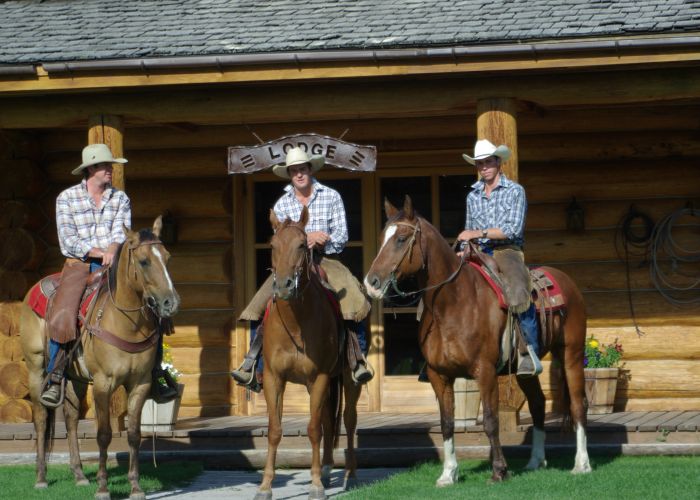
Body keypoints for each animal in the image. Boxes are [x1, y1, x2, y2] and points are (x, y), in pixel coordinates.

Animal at [19, 218, 179, 500]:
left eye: (167, 257)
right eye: (144, 261)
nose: (170, 303)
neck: (126, 323)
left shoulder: (140, 384)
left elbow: (134, 434)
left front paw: (135, 487)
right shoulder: (104, 384)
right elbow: (103, 434)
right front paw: (103, 488)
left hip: (76, 377)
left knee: (71, 417)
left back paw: (80, 475)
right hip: (36, 368)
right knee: (40, 418)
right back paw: (41, 478)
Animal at [258, 206, 364, 500]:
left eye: (301, 245)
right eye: (272, 245)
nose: (283, 285)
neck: (296, 324)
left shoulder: (320, 377)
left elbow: (314, 429)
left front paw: (316, 485)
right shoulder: (273, 378)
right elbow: (275, 430)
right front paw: (265, 486)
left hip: (347, 380)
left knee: (348, 420)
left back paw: (350, 475)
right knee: (329, 419)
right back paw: (328, 470)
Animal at [366, 197, 592, 486]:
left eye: (402, 239)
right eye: (383, 237)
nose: (371, 282)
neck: (452, 304)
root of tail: (567, 281)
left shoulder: (484, 372)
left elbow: (490, 421)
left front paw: (499, 470)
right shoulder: (439, 376)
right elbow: (447, 423)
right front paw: (448, 474)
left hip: (571, 354)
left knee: (578, 404)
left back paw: (581, 464)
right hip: (525, 371)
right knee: (538, 403)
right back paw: (535, 461)